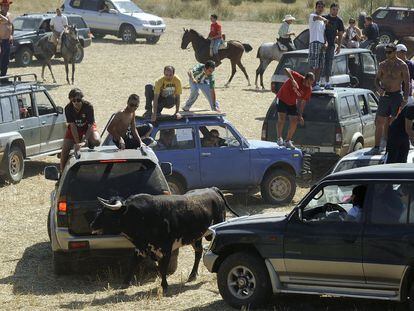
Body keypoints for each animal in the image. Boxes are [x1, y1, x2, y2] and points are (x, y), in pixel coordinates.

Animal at [92, 188, 238, 294]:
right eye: (101, 210)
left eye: (107, 212)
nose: (92, 225)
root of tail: (212, 189)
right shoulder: (141, 248)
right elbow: (132, 263)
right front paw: (125, 283)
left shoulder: (166, 249)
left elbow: (163, 268)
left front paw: (164, 286)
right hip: (195, 237)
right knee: (198, 252)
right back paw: (192, 275)